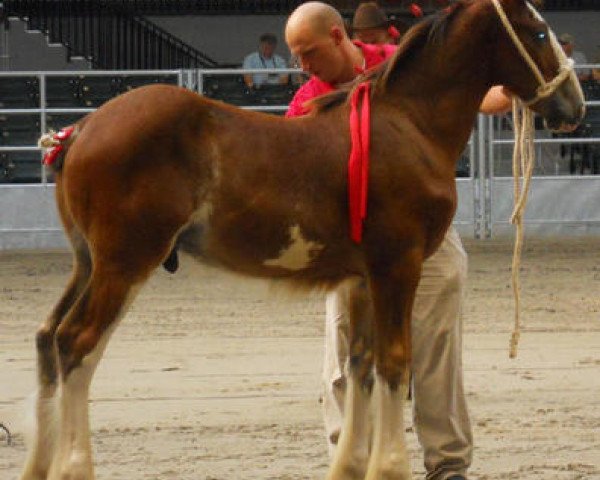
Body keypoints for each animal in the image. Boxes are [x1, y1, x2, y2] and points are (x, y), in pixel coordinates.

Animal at [22, 0, 580, 480]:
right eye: (538, 32)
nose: (572, 105)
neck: (408, 125)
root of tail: (80, 130)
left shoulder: (360, 278)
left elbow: (361, 366)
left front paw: (352, 466)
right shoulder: (398, 266)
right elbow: (396, 361)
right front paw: (389, 467)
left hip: (88, 263)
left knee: (48, 339)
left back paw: (39, 465)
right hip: (124, 264)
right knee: (77, 344)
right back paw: (74, 467)